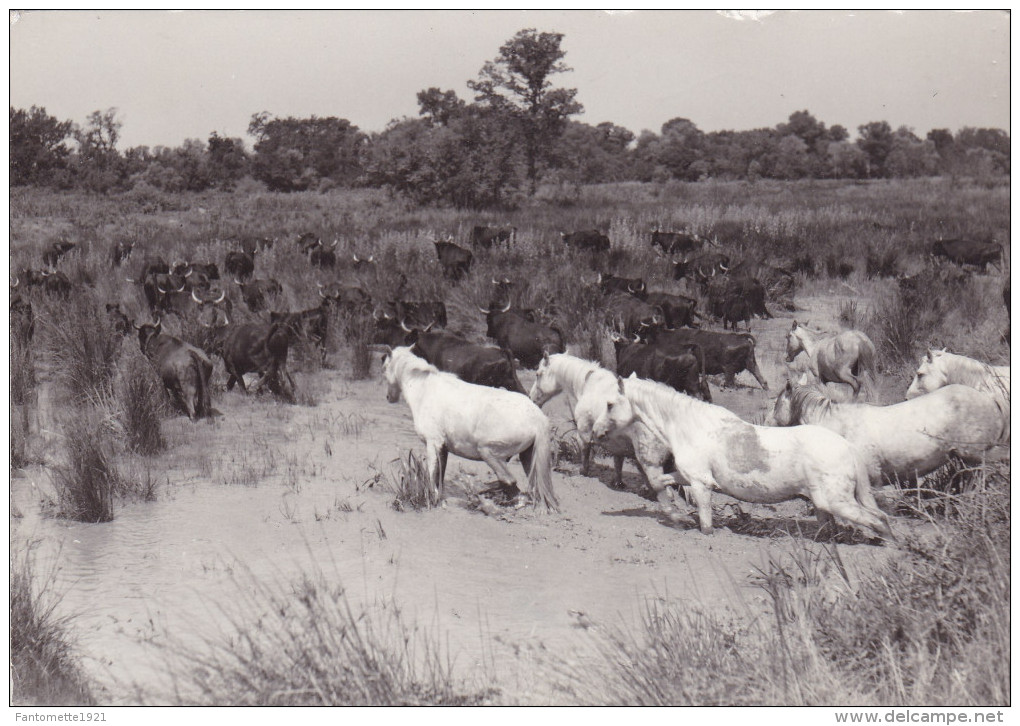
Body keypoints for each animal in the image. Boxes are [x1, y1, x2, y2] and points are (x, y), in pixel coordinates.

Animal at [383, 346, 558, 509]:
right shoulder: (443, 447)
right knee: (531, 490)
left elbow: (433, 475)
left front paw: (431, 500)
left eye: (385, 367)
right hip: (527, 456)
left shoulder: (433, 443)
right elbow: (440, 476)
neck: (425, 390)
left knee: (511, 483)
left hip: (489, 453)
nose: (389, 397)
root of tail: (537, 416)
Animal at [526, 352, 685, 513]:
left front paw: (582, 472)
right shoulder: (618, 444)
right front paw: (618, 483)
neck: (589, 385)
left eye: (538, 374)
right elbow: (618, 463)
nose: (531, 398)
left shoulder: (583, 434)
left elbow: (585, 456)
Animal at [591, 375, 893, 538]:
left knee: (878, 520)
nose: (595, 432)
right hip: (823, 504)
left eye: (610, 404)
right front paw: (676, 517)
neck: (690, 425)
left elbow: (706, 524)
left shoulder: (701, 483)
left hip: (837, 501)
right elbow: (659, 482)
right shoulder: (689, 475)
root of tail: (847, 448)